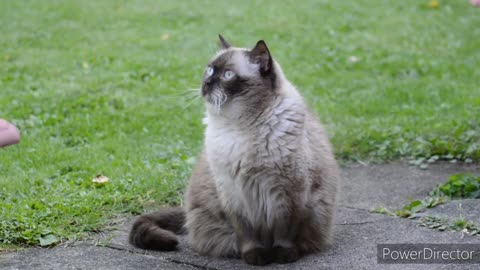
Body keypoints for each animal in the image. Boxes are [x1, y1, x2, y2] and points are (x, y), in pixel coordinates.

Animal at [130, 34, 342, 264]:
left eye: (228, 75)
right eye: (210, 70)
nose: (206, 83)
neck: (239, 127)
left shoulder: (290, 193)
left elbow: (285, 232)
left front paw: (283, 256)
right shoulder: (234, 195)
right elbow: (247, 235)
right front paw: (255, 258)